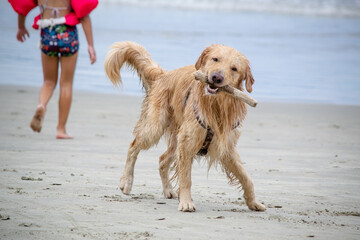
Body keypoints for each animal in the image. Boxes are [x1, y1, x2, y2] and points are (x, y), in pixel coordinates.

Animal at [104, 41, 264, 212]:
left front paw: (253, 202)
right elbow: (186, 177)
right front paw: (186, 202)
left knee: (162, 160)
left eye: (234, 68)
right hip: (156, 127)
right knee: (133, 146)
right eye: (215, 59)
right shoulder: (188, 142)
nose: (216, 77)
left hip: (177, 139)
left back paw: (168, 190)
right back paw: (126, 181)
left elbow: (246, 177)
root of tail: (164, 74)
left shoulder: (225, 147)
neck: (215, 106)